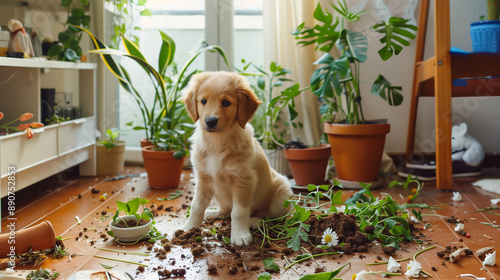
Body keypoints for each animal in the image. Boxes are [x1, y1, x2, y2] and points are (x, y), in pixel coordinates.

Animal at [183, 71, 292, 245]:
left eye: (226, 103)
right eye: (204, 101)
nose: (210, 121)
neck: (217, 144)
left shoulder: (244, 181)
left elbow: (238, 212)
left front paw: (239, 235)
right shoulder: (203, 179)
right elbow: (197, 206)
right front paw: (188, 227)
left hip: (281, 195)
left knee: (270, 216)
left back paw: (255, 220)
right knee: (225, 210)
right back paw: (212, 212)